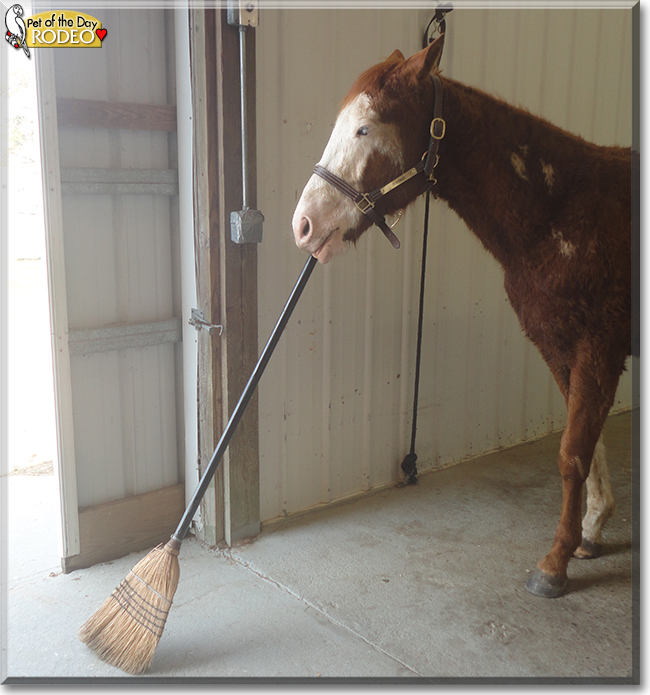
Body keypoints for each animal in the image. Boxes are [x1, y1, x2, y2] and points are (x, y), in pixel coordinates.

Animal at [291, 35, 634, 599]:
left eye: (365, 128)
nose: (303, 226)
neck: (561, 209)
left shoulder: (599, 347)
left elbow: (571, 454)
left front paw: (554, 564)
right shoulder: (560, 346)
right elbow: (589, 441)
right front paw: (590, 530)